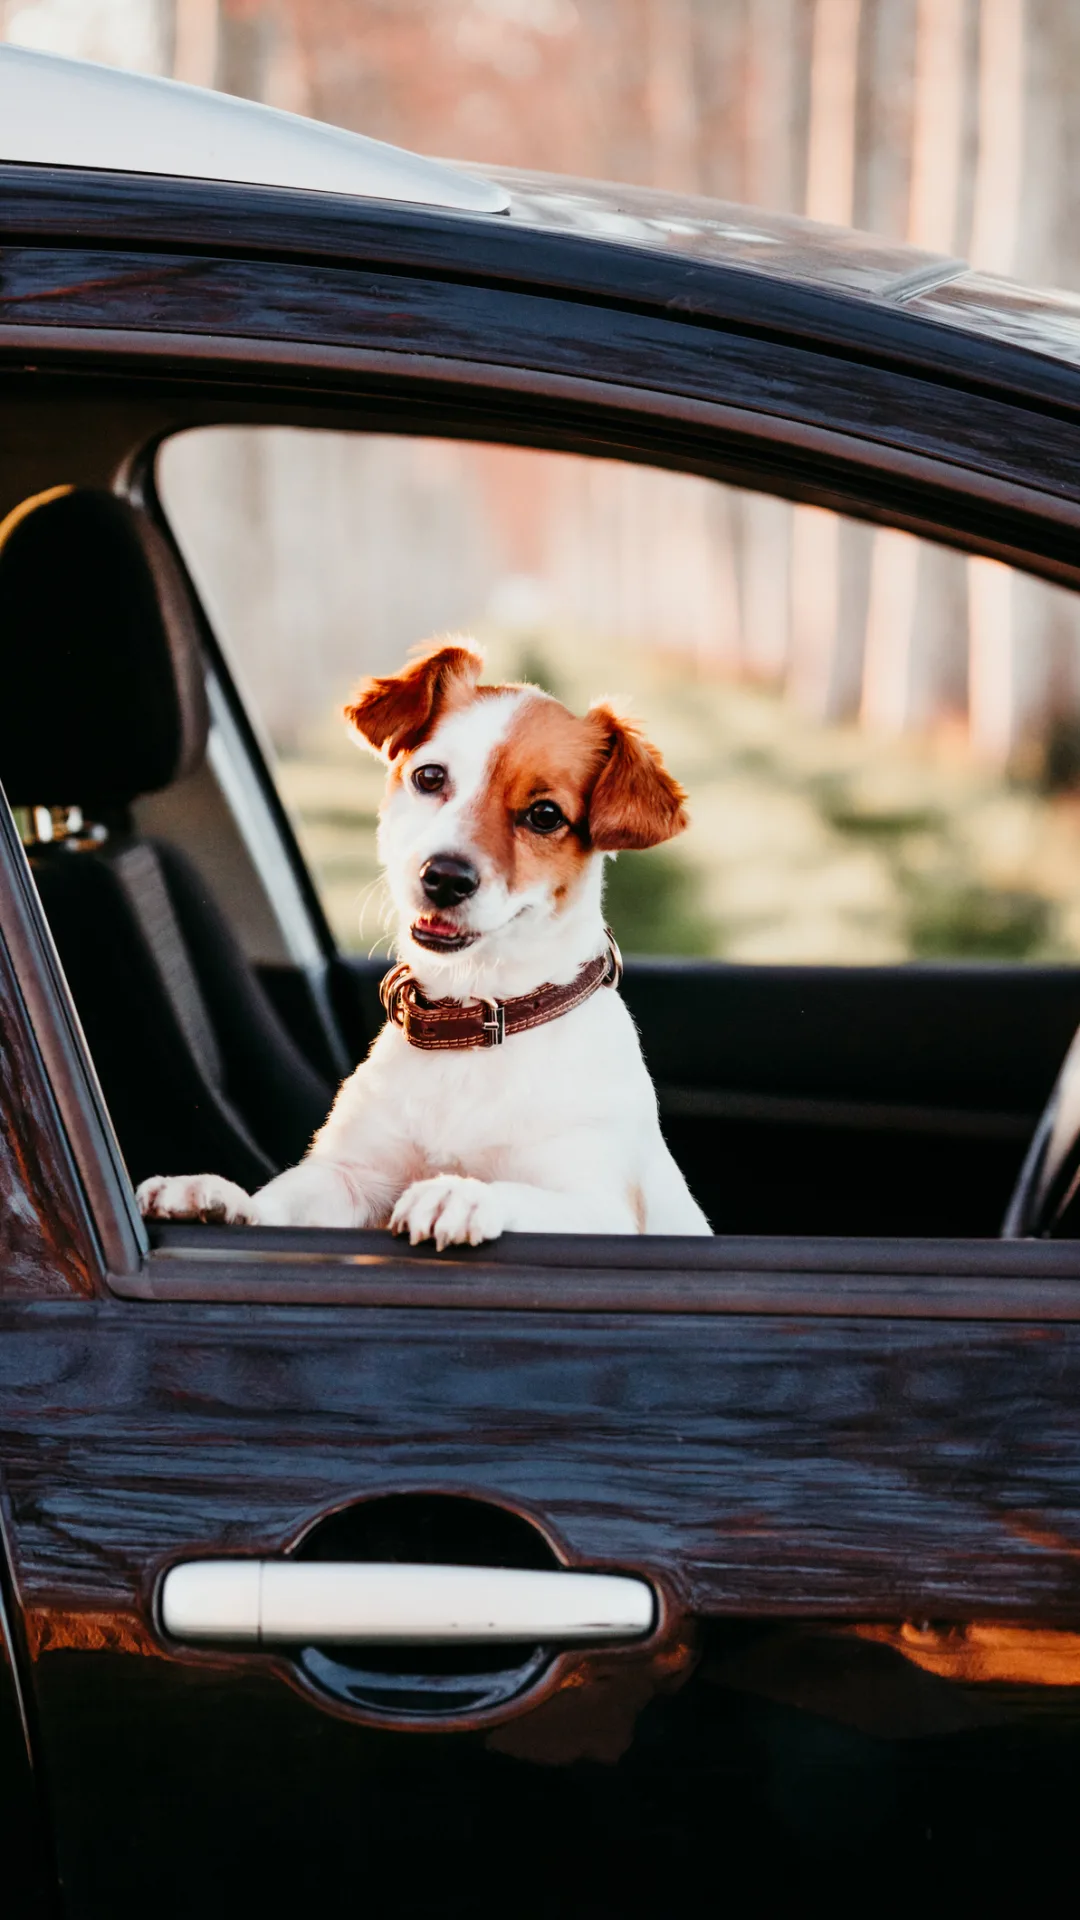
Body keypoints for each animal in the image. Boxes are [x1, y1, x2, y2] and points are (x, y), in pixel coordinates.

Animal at [138, 645, 711, 1244]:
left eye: (545, 815)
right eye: (430, 776)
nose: (445, 877)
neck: (476, 1014)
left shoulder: (600, 1208)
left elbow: (517, 1194)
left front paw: (459, 1192)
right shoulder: (351, 1176)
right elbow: (277, 1202)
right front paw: (212, 1193)